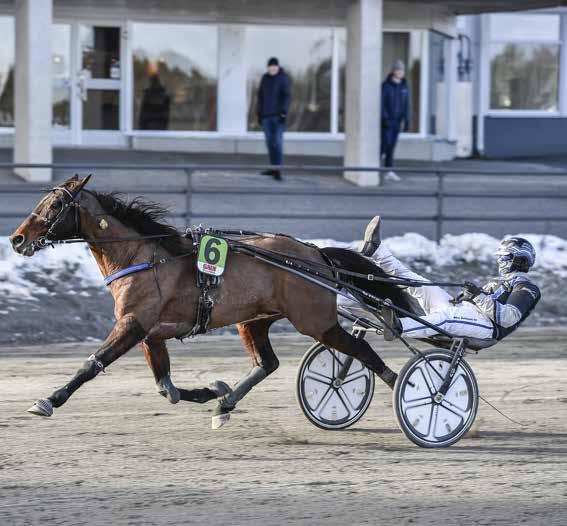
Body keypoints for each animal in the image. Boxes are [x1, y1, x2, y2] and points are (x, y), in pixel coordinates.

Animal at [10, 176, 400, 428]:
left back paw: (407, 389)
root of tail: (316, 255)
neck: (143, 257)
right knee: (268, 363)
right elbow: (166, 388)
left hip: (316, 322)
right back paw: (225, 403)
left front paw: (48, 401)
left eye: (56, 204)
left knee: (364, 352)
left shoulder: (133, 324)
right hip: (254, 319)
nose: (17, 239)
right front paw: (210, 391)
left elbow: (92, 364)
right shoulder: (151, 332)